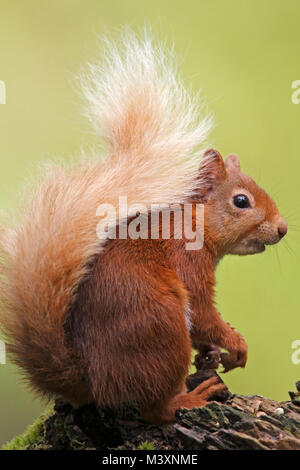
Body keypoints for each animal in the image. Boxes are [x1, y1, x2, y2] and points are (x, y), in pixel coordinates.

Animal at [0, 31, 288, 424]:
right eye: (241, 201)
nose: (283, 228)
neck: (192, 223)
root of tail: (92, 381)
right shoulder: (186, 260)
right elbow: (202, 312)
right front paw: (236, 343)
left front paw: (213, 353)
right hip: (160, 327)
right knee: (155, 409)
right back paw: (190, 399)